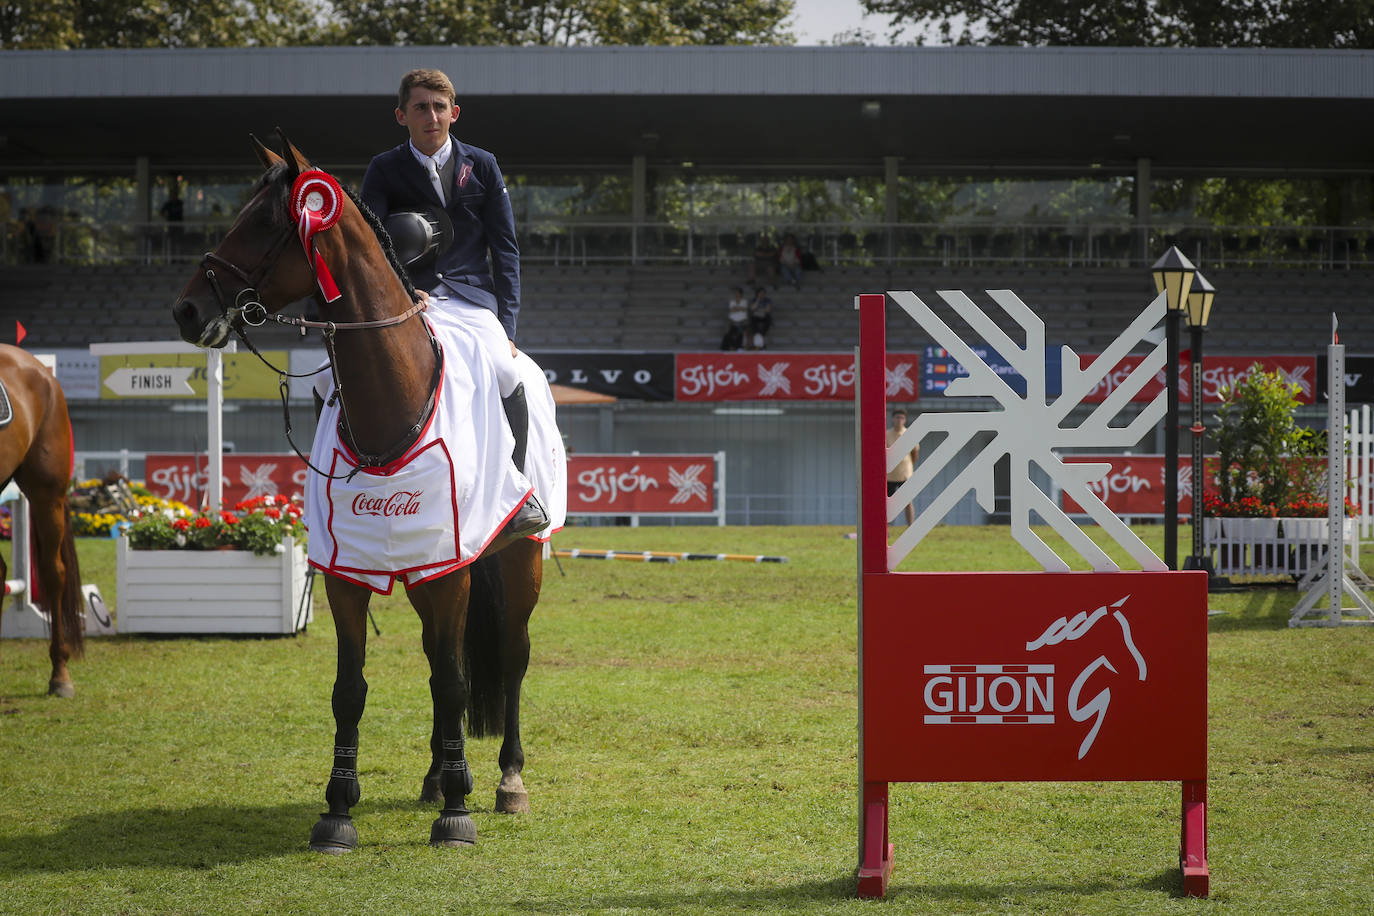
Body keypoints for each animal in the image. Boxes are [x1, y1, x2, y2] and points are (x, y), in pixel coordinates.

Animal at [169, 134, 538, 851]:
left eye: (265, 221)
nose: (187, 309)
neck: (392, 409)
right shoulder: (350, 570)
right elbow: (352, 688)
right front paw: (338, 808)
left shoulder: (451, 571)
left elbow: (457, 684)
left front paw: (458, 814)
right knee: (437, 659)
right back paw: (437, 775)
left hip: (518, 557)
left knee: (509, 657)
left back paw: (506, 779)